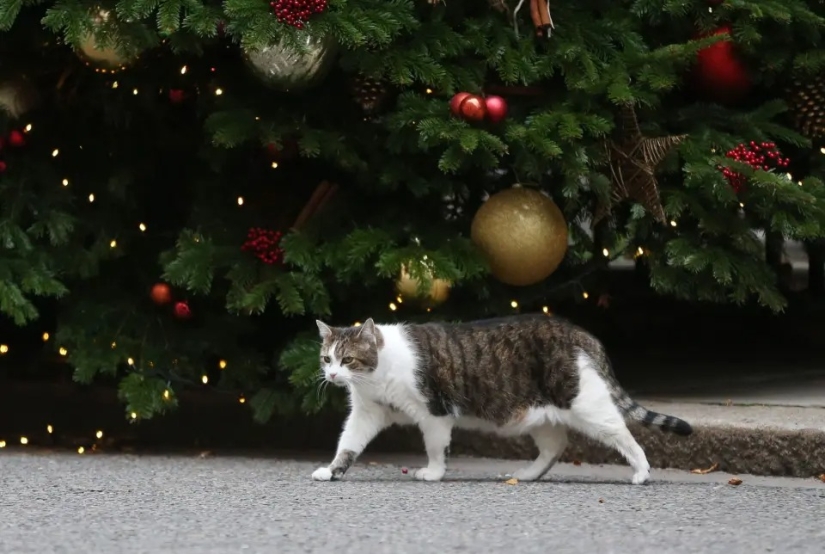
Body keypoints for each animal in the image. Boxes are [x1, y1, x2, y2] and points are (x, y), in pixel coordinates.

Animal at [308, 312, 688, 486]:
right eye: (327, 359)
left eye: (348, 360)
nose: (332, 376)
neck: (377, 374)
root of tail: (578, 331)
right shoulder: (367, 413)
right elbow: (348, 443)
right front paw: (332, 470)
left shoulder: (433, 413)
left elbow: (436, 448)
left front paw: (433, 473)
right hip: (539, 414)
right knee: (555, 445)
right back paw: (528, 474)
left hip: (585, 404)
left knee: (623, 433)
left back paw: (642, 472)